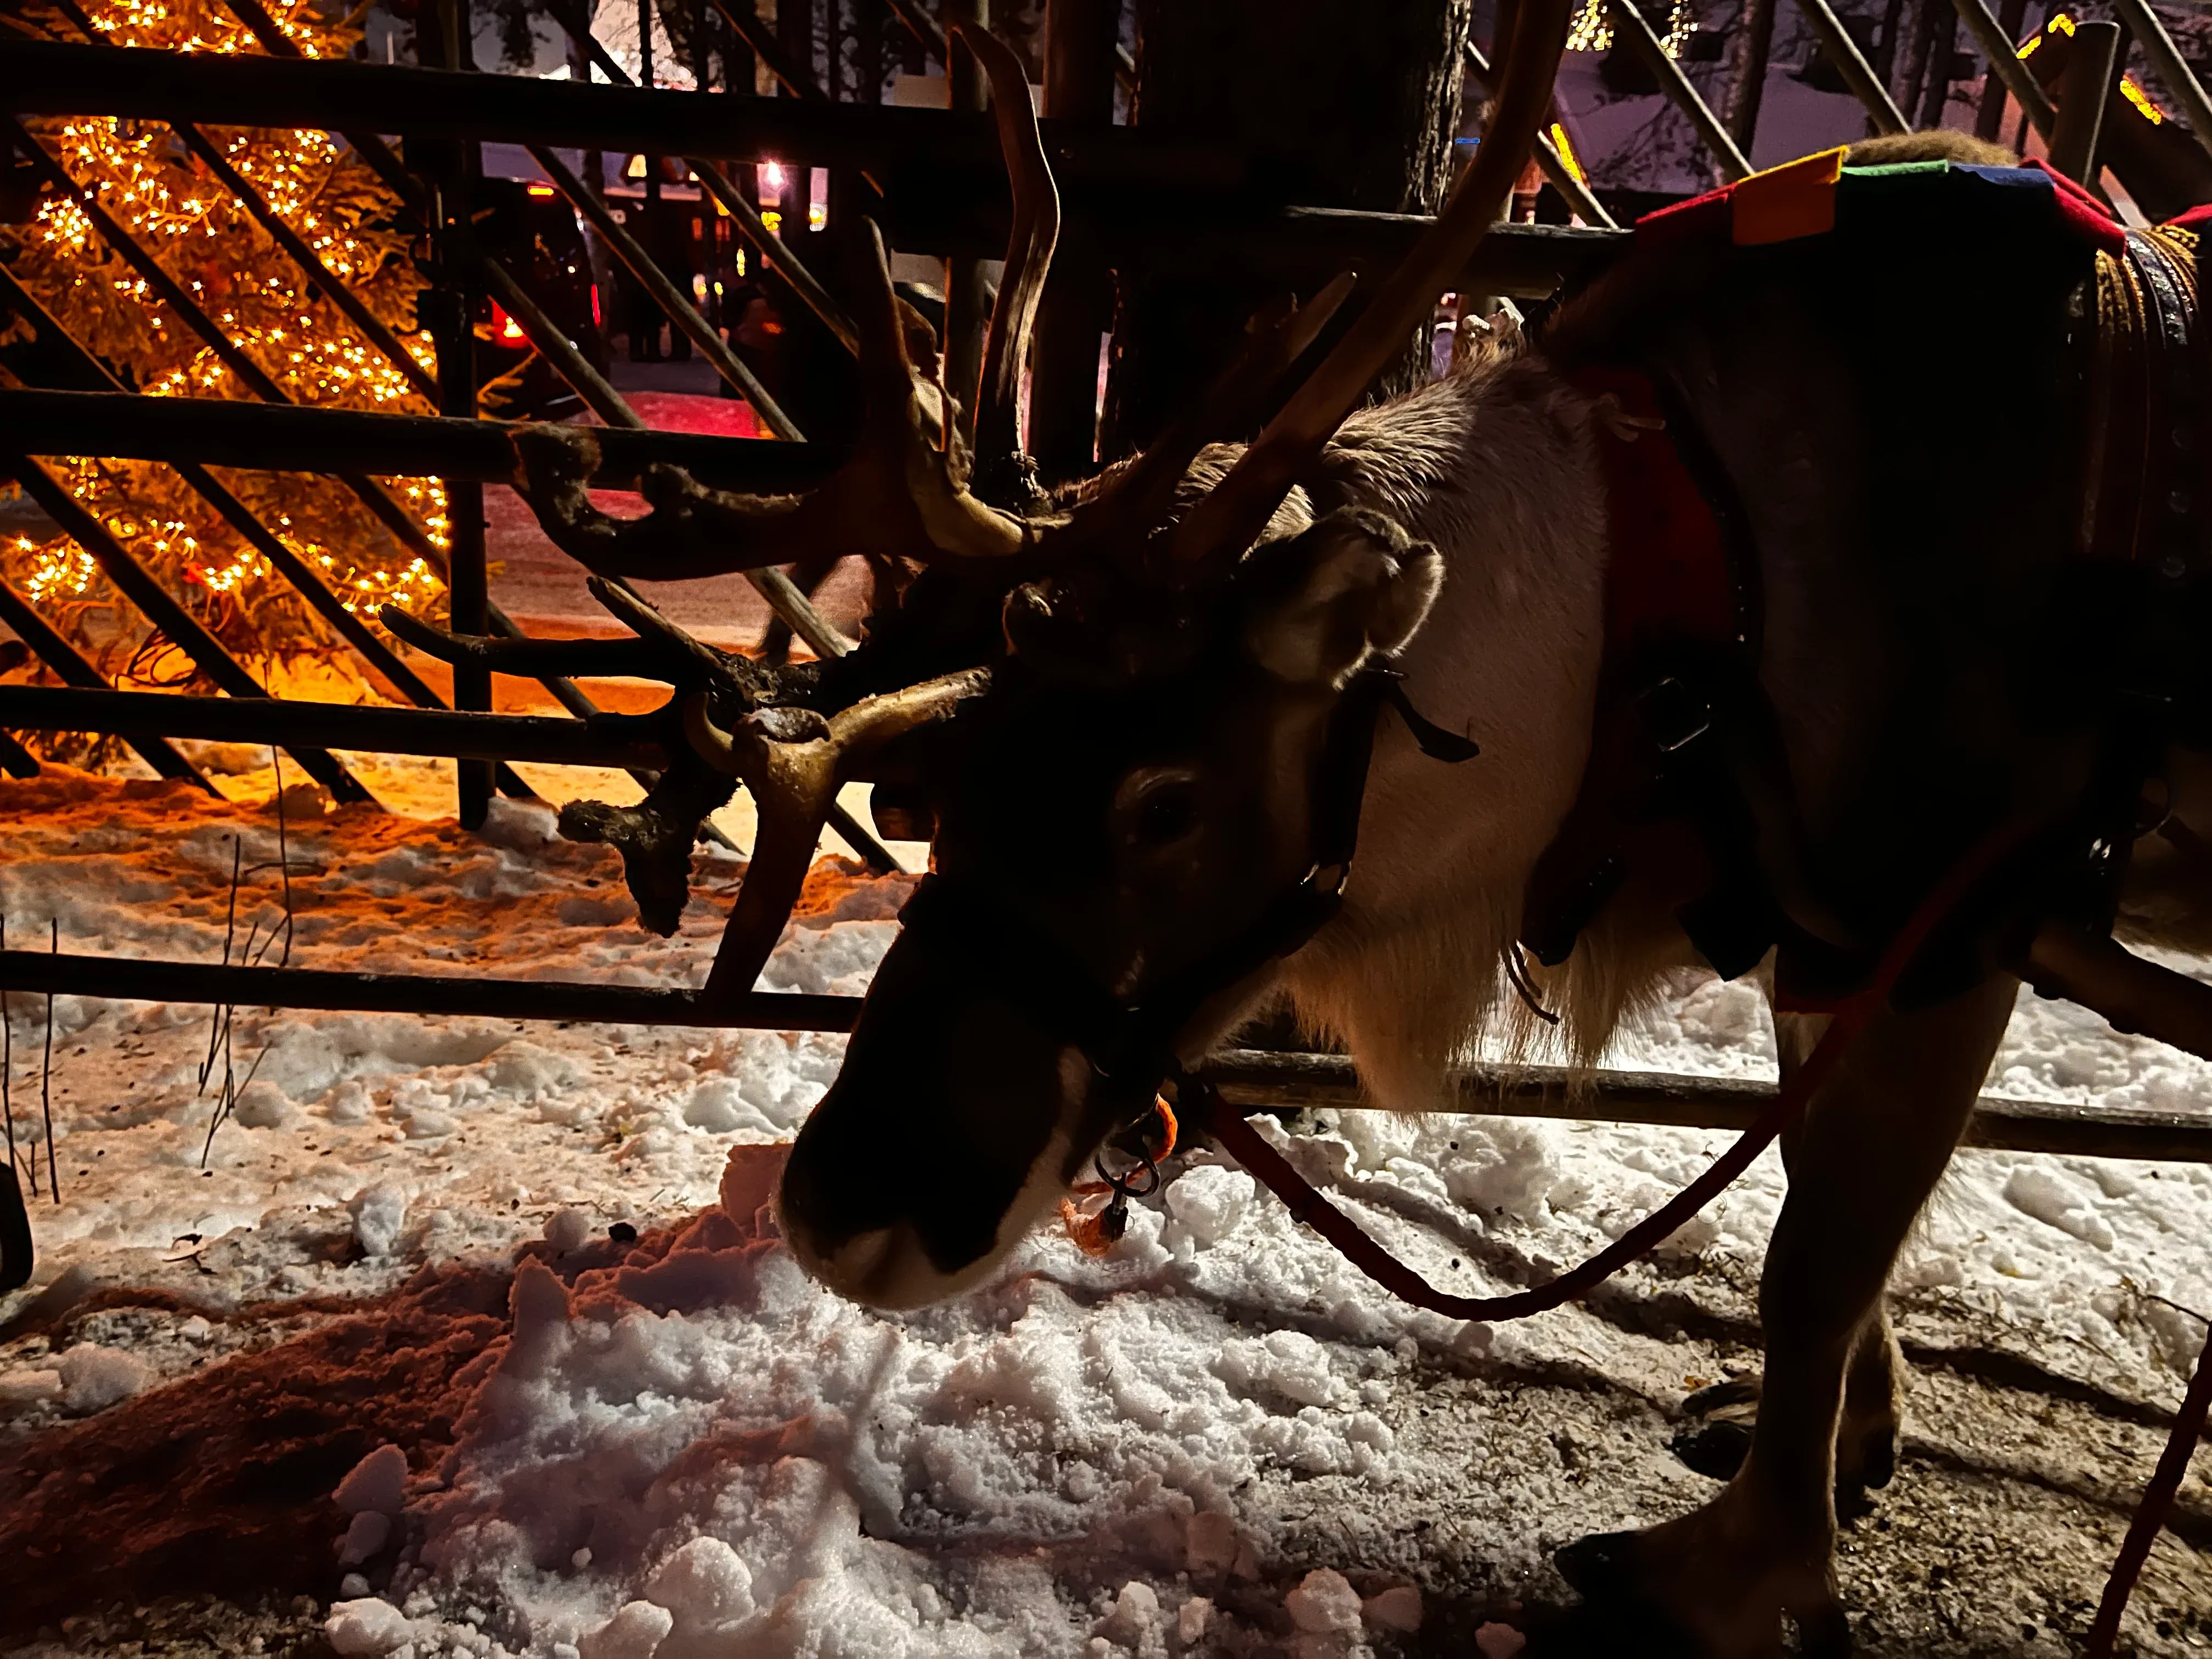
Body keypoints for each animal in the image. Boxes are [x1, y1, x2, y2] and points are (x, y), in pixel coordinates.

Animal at [412, 6, 2212, 1651]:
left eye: (1166, 797)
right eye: (946, 787)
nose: (841, 1207)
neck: (1681, 600)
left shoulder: (1949, 927)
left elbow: (1817, 1254)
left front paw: (1738, 1577)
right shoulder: (1825, 935)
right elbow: (1832, 1214)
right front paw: (1851, 1441)